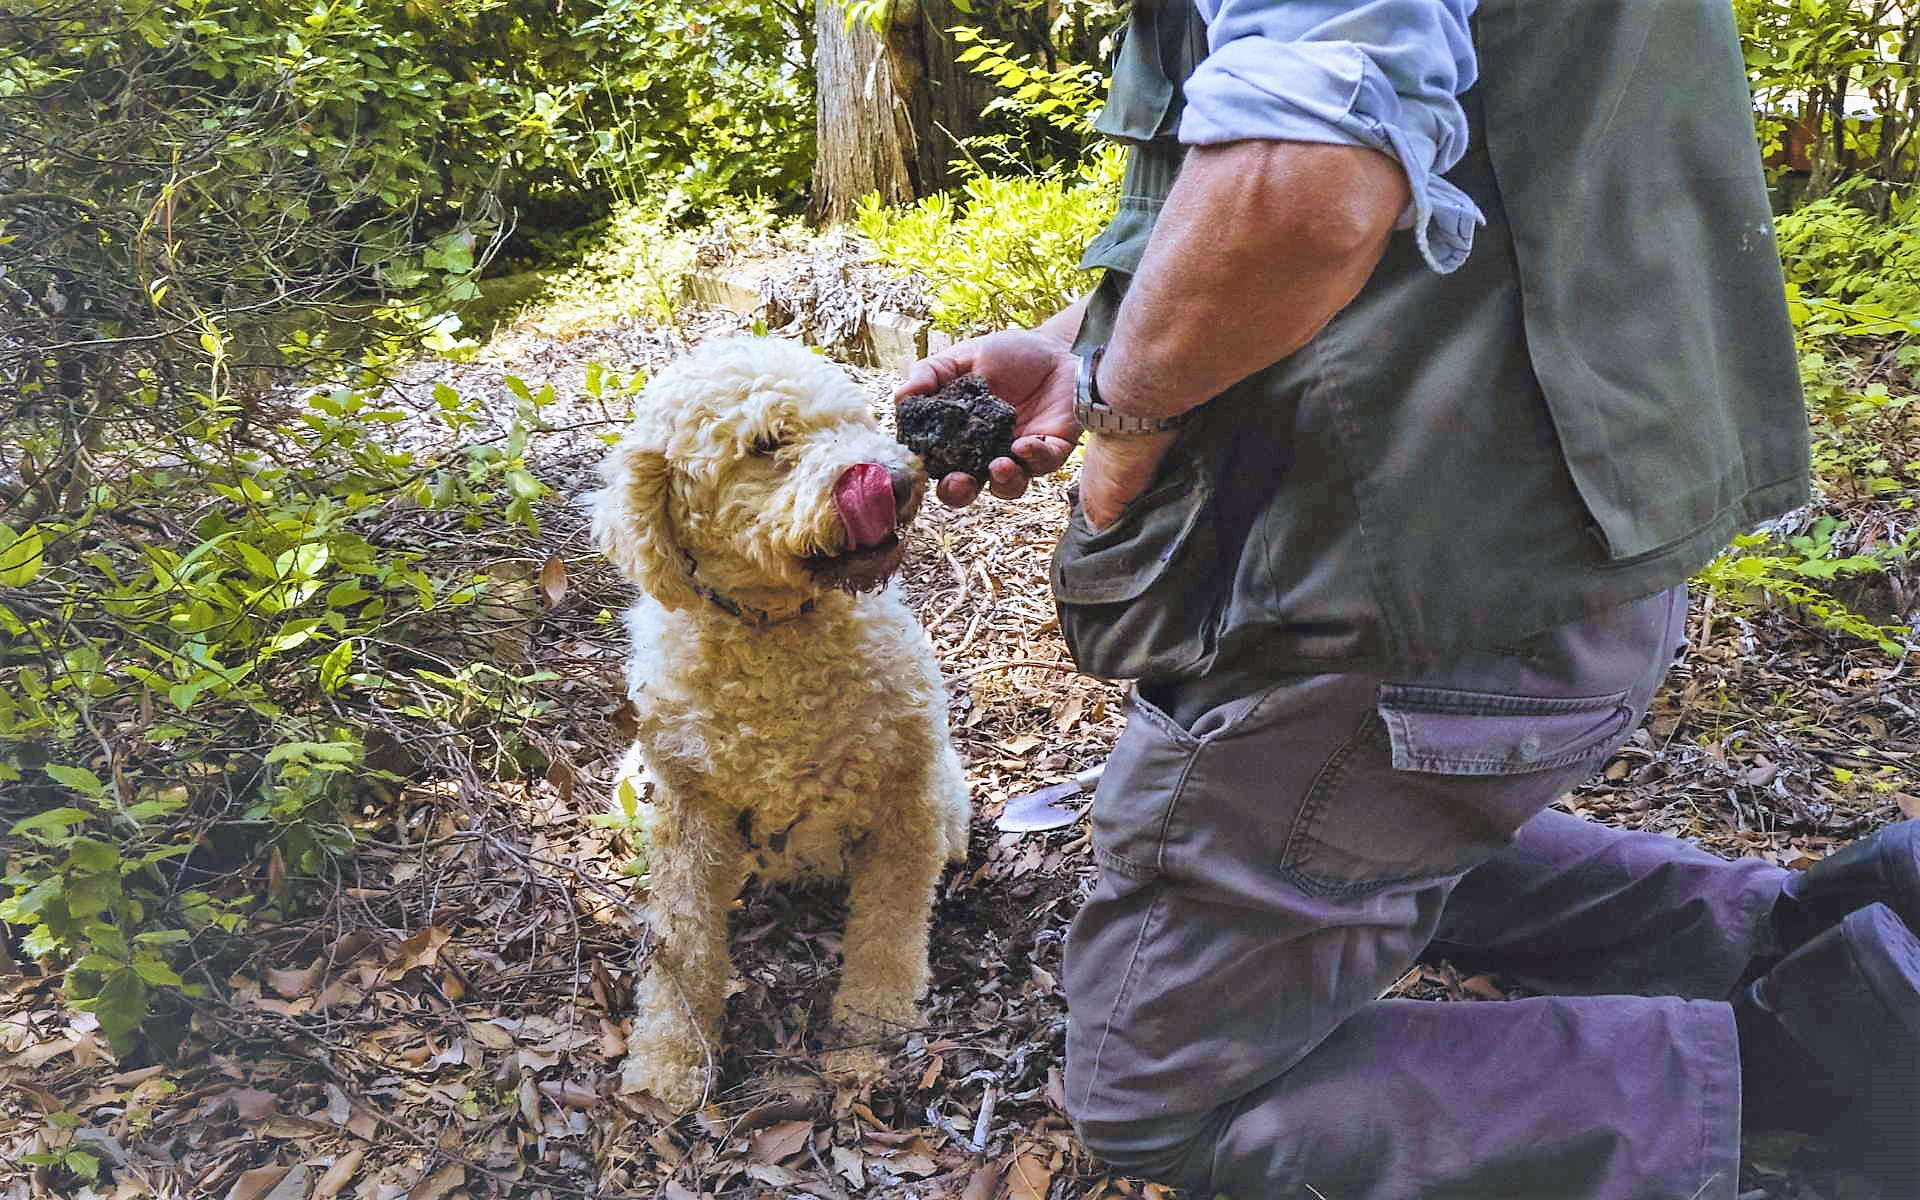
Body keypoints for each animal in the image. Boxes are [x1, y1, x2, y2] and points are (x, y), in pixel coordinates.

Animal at [587, 332, 975, 1105]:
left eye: (856, 417)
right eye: (766, 444)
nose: (891, 480)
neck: (779, 633)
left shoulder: (905, 793)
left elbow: (888, 925)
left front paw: (872, 1026)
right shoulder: (686, 814)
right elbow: (681, 945)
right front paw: (670, 1060)